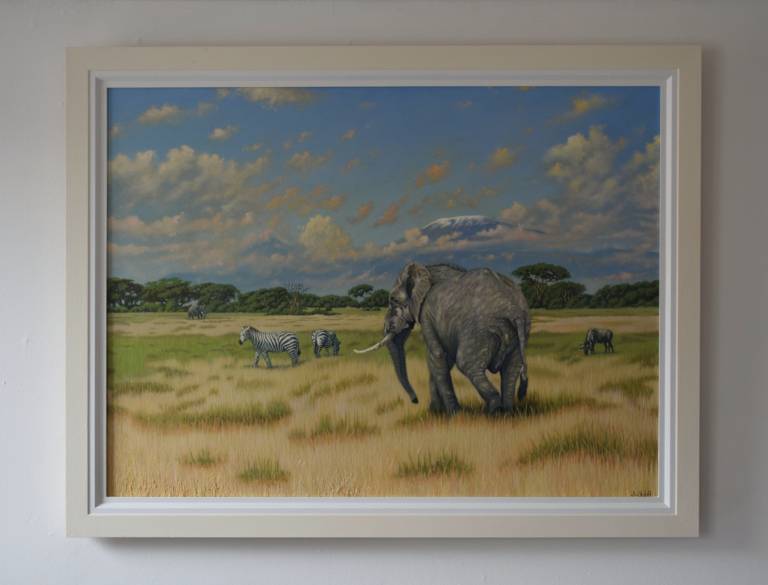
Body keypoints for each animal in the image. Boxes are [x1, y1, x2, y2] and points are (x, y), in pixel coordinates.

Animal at [356, 262, 532, 412]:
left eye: (393, 300)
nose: (415, 401)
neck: (427, 270)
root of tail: (513, 310)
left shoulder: (426, 313)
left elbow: (437, 356)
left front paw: (455, 414)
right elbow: (443, 360)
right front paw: (435, 412)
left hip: (479, 330)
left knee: (468, 364)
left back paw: (494, 411)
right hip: (519, 331)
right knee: (511, 370)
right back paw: (507, 413)